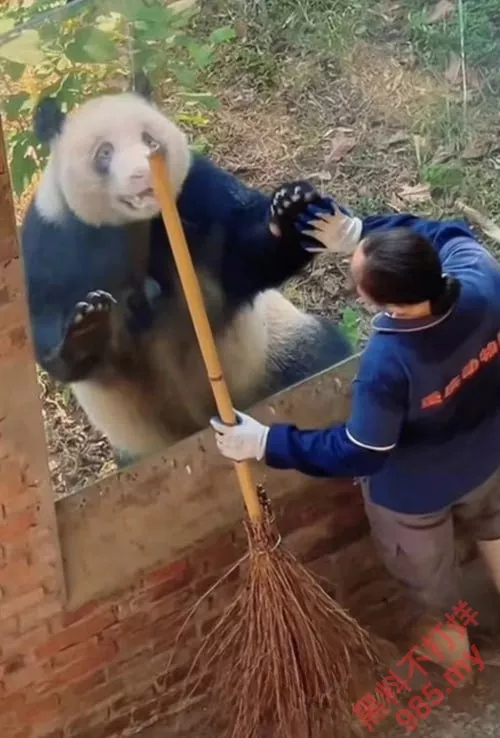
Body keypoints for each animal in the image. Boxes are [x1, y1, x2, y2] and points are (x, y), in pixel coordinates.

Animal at [21, 75, 354, 466]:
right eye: (104, 153)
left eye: (150, 140)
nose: (143, 175)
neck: (136, 224)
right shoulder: (57, 239)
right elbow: (51, 333)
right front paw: (88, 325)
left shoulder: (195, 195)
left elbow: (239, 258)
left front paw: (291, 214)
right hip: (139, 443)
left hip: (273, 353)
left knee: (320, 355)